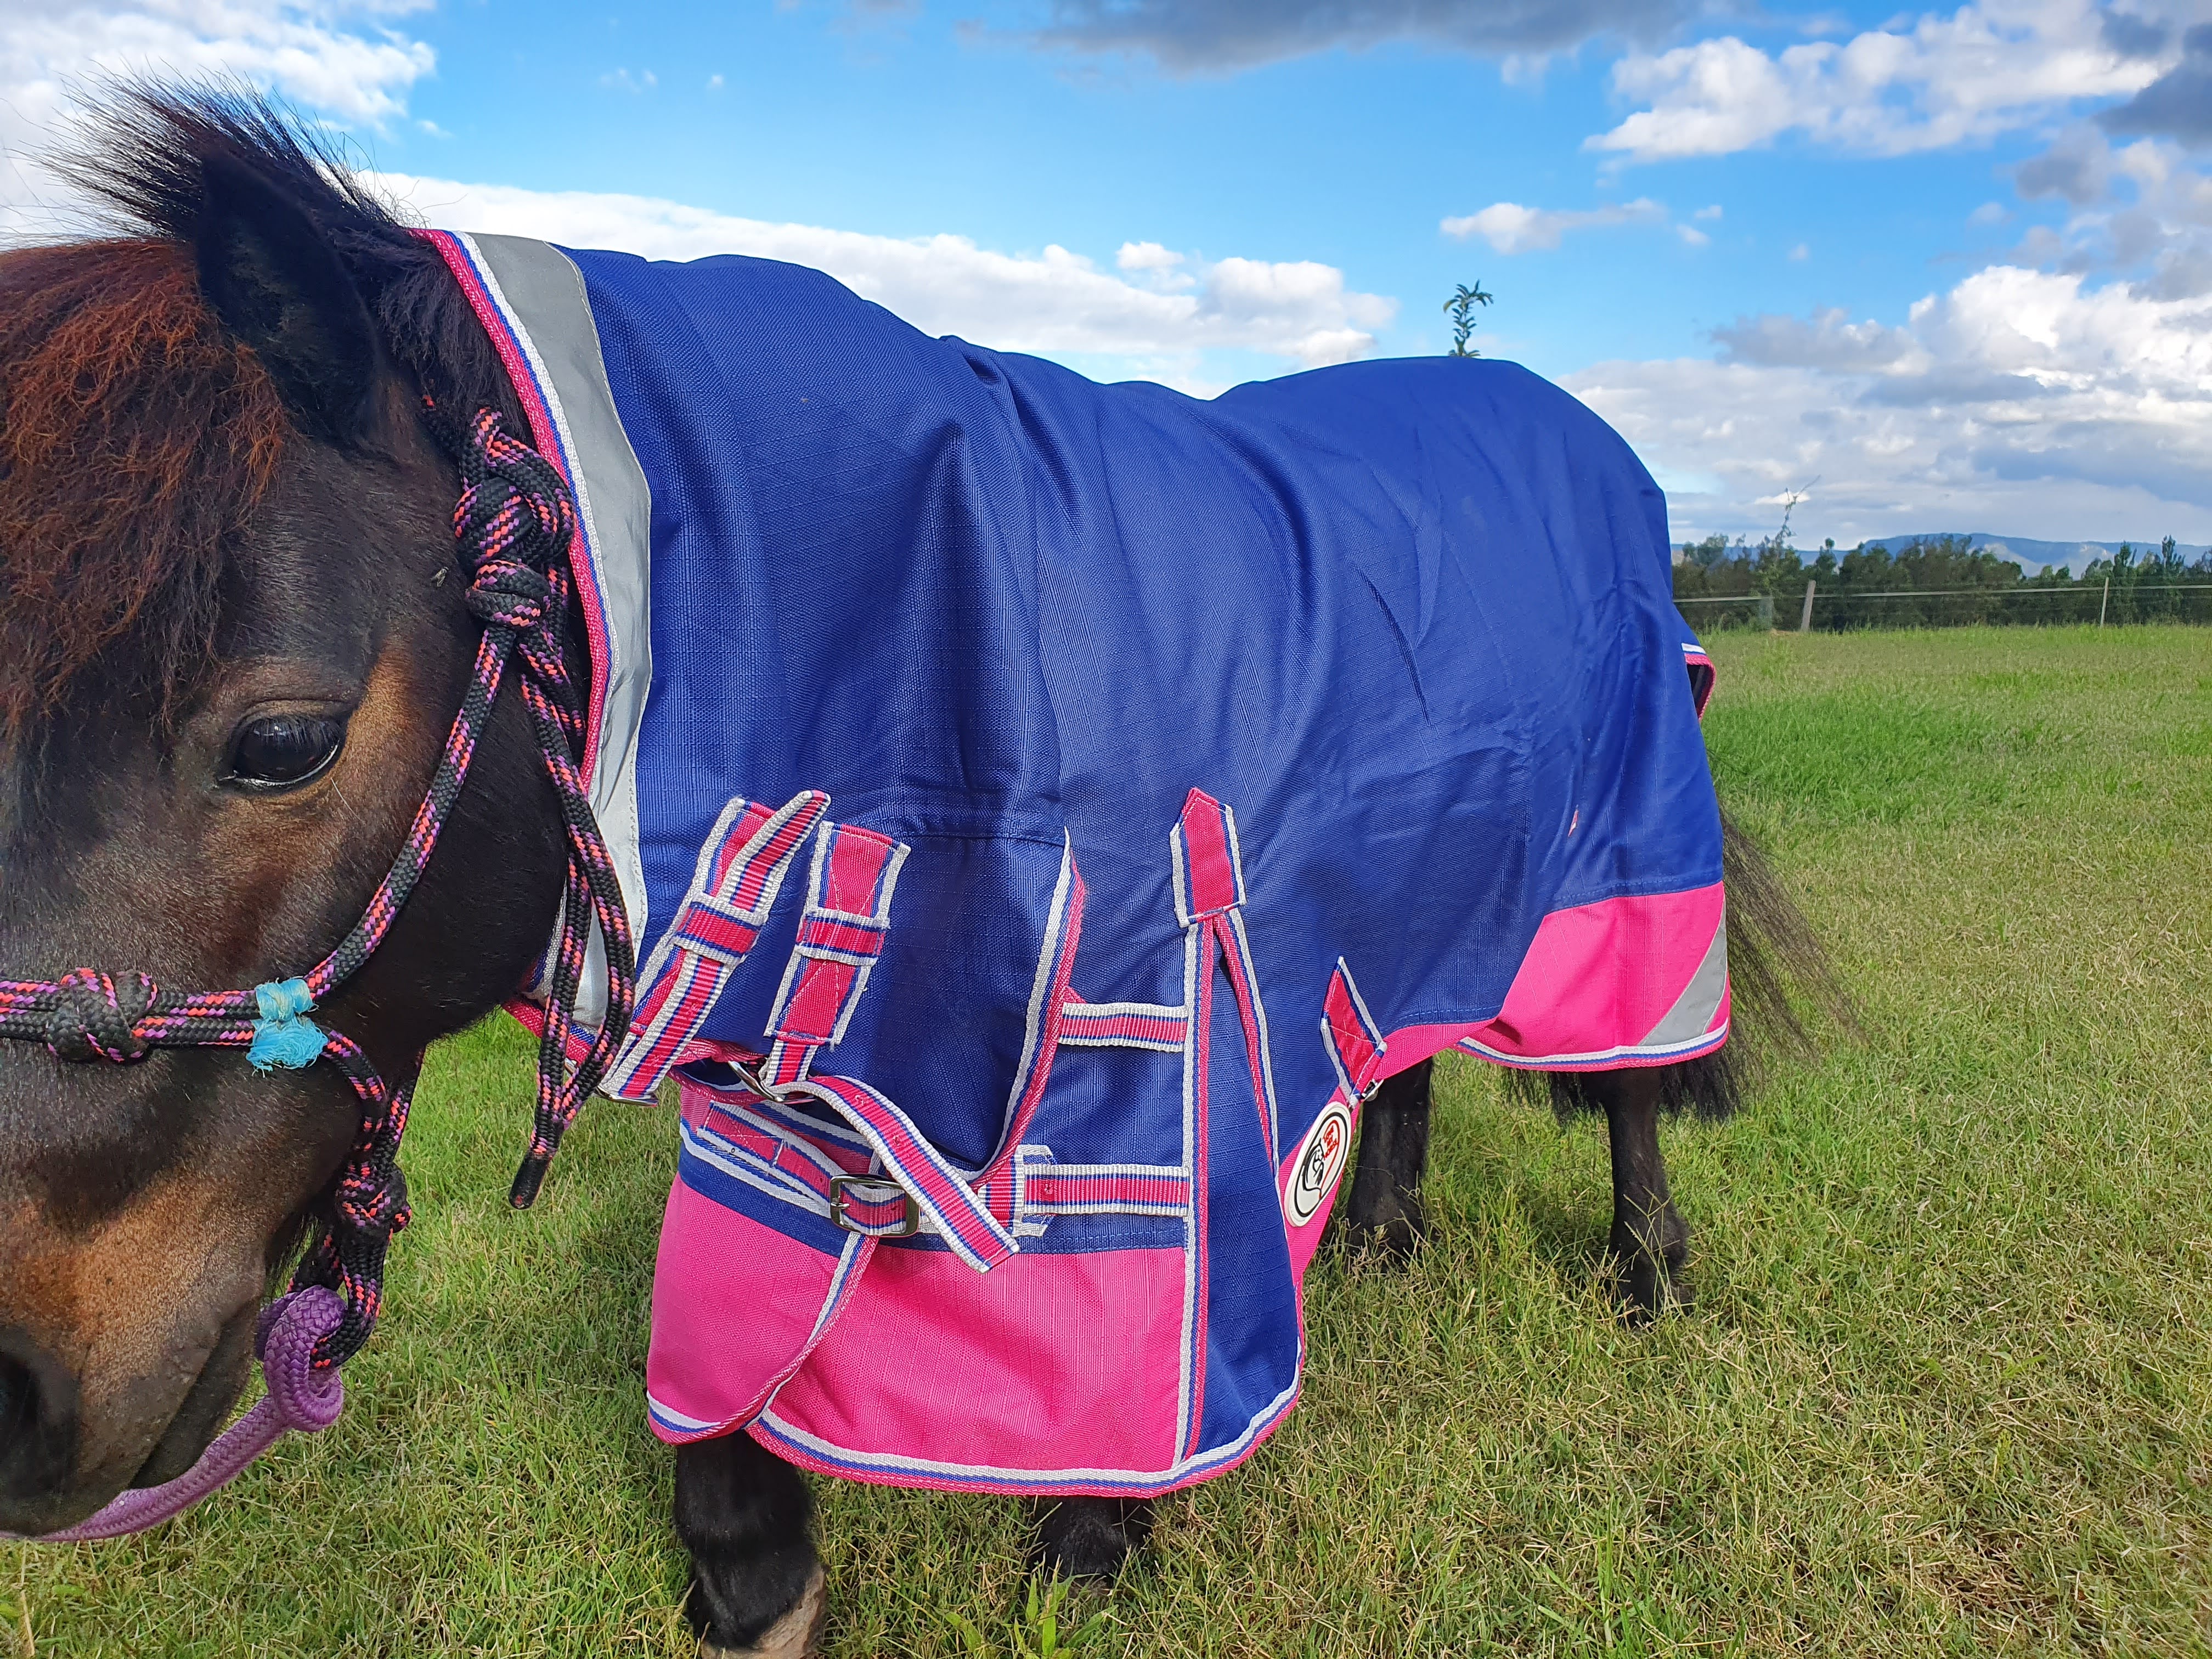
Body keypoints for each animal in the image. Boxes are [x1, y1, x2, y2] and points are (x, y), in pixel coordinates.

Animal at [0, 89, 1836, 1657]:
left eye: (282, 740)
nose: (15, 1389)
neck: (900, 612)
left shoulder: (1135, 1062)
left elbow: (1128, 1355)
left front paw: (1092, 1542)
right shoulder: (785, 1076)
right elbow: (736, 1359)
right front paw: (754, 1572)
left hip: (1619, 877)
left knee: (1628, 1079)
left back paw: (1645, 1269)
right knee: (1402, 1048)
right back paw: (1386, 1236)